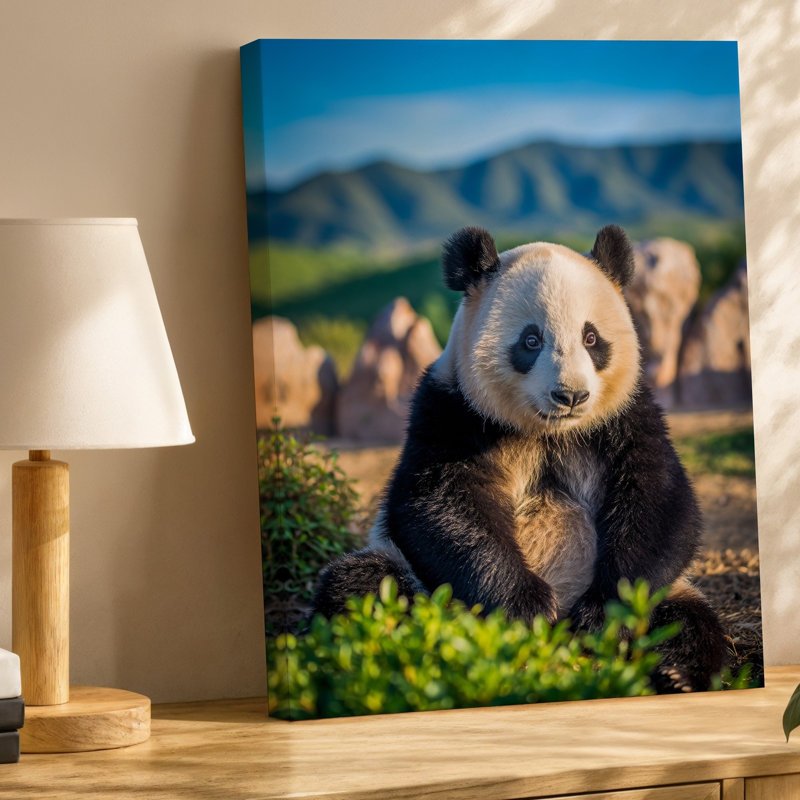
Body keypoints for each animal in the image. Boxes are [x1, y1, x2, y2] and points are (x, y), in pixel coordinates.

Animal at [312, 224, 726, 693]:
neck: (548, 432)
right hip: (419, 582)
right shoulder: (451, 410)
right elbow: (439, 505)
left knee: (688, 621)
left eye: (591, 338)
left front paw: (600, 618)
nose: (571, 395)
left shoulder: (625, 416)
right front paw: (527, 609)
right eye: (531, 340)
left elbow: (659, 501)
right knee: (365, 588)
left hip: (671, 592)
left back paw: (677, 674)